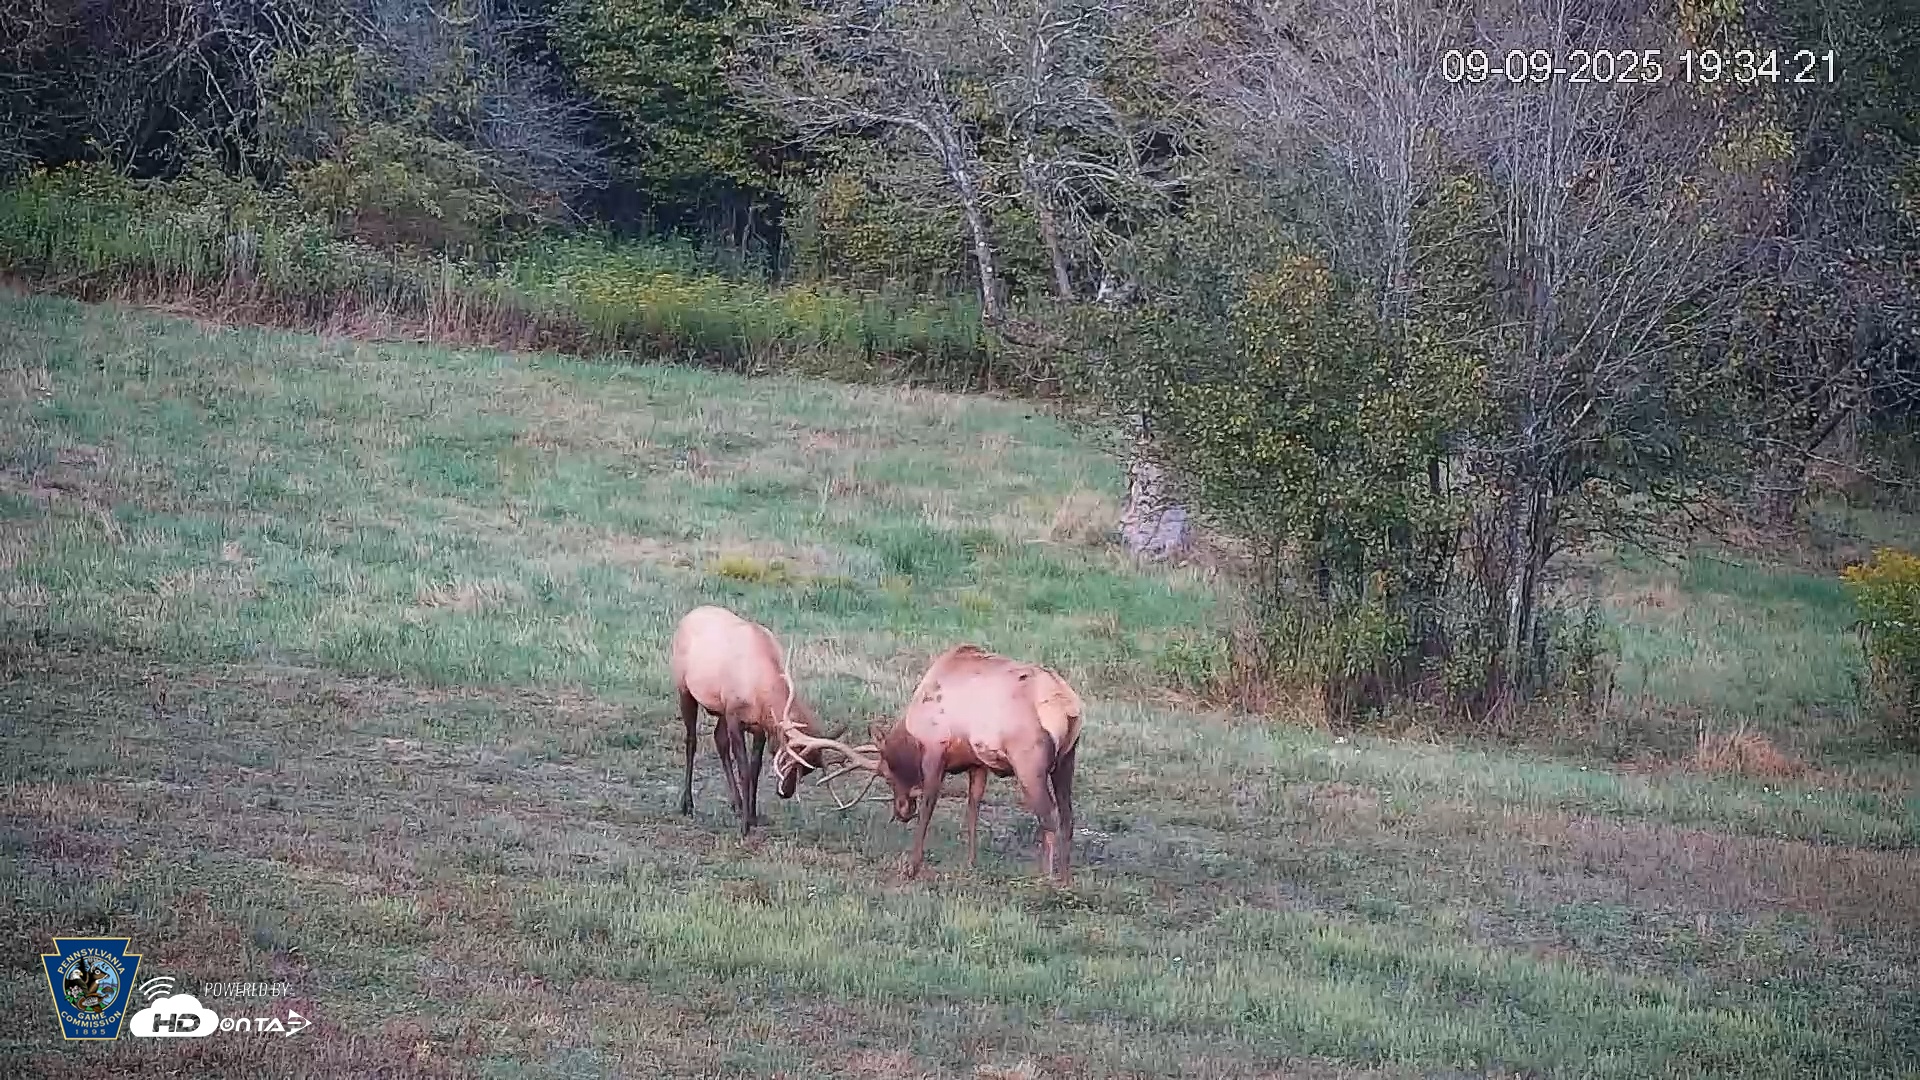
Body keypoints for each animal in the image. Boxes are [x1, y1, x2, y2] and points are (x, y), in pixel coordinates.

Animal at [668, 604, 839, 838]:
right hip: (685, 689)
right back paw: (688, 804)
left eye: (807, 769)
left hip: (720, 708)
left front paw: (753, 815)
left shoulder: (758, 725)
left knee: (719, 739)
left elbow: (754, 769)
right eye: (788, 760)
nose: (785, 792)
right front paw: (745, 826)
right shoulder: (734, 715)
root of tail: (687, 617)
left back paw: (737, 803)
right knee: (692, 741)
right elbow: (744, 770)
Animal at [778, 644, 1085, 885]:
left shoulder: (935, 752)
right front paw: (971, 862)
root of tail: (1068, 707)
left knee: (1048, 817)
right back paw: (1066, 878)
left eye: (887, 774)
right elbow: (972, 808)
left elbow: (928, 806)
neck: (912, 732)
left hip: (1029, 763)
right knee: (1068, 817)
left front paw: (913, 866)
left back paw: (1045, 877)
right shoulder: (977, 763)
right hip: (1066, 759)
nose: (902, 811)